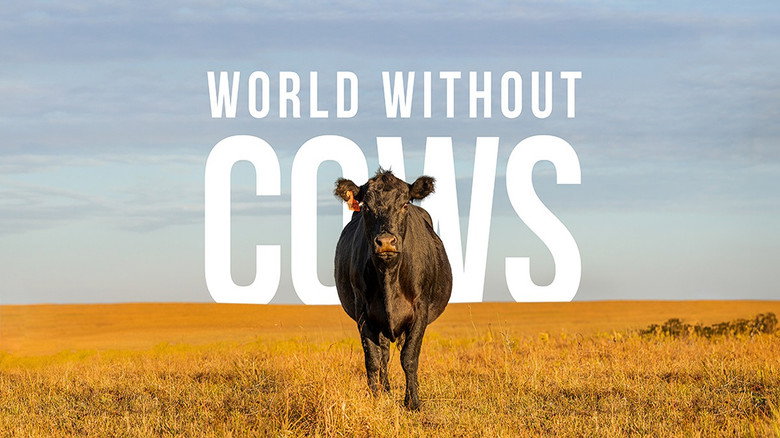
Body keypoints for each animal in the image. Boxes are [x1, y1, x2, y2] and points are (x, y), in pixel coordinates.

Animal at [333, 169, 452, 410]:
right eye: (366, 207)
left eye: (405, 204)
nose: (386, 241)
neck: (389, 276)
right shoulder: (363, 313)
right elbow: (373, 359)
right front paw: (375, 397)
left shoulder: (420, 310)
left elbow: (409, 357)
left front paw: (413, 402)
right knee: (384, 355)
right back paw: (385, 390)